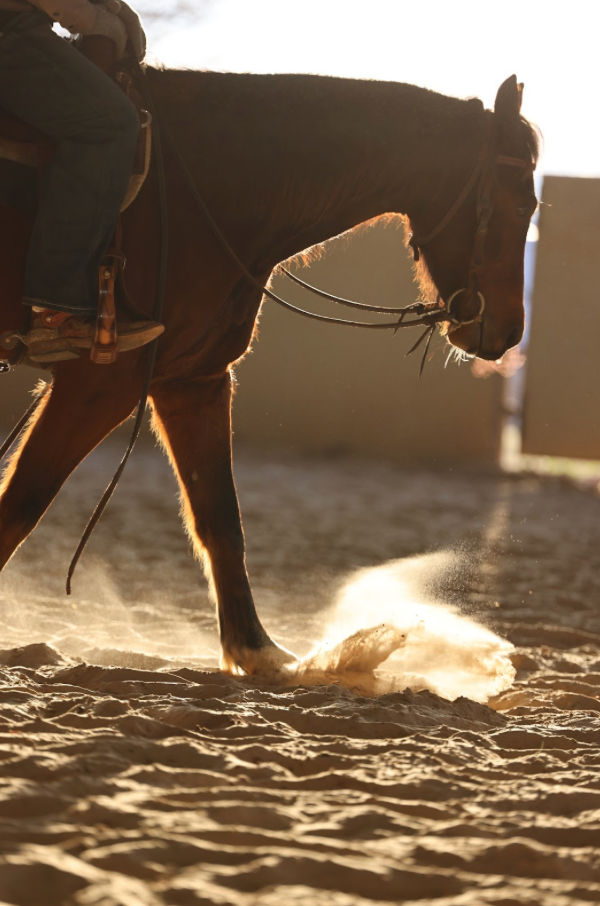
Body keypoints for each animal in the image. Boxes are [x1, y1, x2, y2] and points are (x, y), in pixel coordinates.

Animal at [0, 67, 539, 675]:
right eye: (523, 203)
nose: (509, 331)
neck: (207, 189)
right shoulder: (101, 382)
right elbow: (21, 504)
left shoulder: (193, 381)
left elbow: (220, 518)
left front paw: (258, 651)